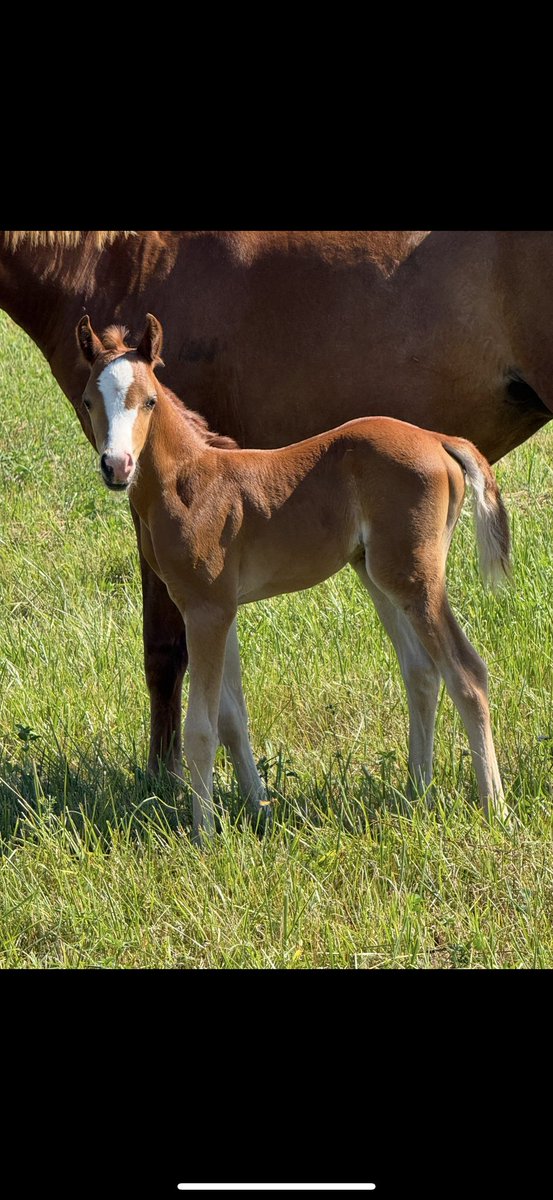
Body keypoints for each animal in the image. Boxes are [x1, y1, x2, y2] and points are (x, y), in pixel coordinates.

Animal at [76, 312, 511, 839]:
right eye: (88, 401)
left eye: (149, 401)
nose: (117, 466)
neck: (190, 484)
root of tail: (439, 440)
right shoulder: (219, 610)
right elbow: (231, 718)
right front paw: (259, 808)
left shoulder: (205, 611)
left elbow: (201, 727)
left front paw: (204, 835)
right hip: (378, 575)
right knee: (422, 672)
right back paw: (417, 795)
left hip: (416, 578)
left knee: (467, 673)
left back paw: (495, 808)